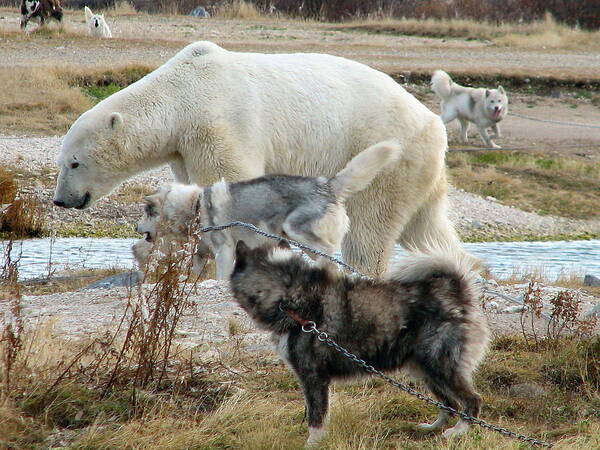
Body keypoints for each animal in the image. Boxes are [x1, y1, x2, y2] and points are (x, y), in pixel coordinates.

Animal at [52, 40, 464, 276]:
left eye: (74, 162)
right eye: (63, 162)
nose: (61, 200)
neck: (181, 92)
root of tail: (433, 122)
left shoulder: (217, 120)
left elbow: (230, 177)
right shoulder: (183, 144)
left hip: (385, 152)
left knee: (370, 226)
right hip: (420, 171)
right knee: (427, 228)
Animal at [230, 241, 488, 444]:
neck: (288, 296)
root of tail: (455, 293)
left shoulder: (314, 377)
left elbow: (316, 417)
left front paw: (312, 443)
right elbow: (314, 413)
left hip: (439, 366)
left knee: (471, 400)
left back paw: (459, 431)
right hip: (425, 370)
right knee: (449, 403)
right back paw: (433, 428)